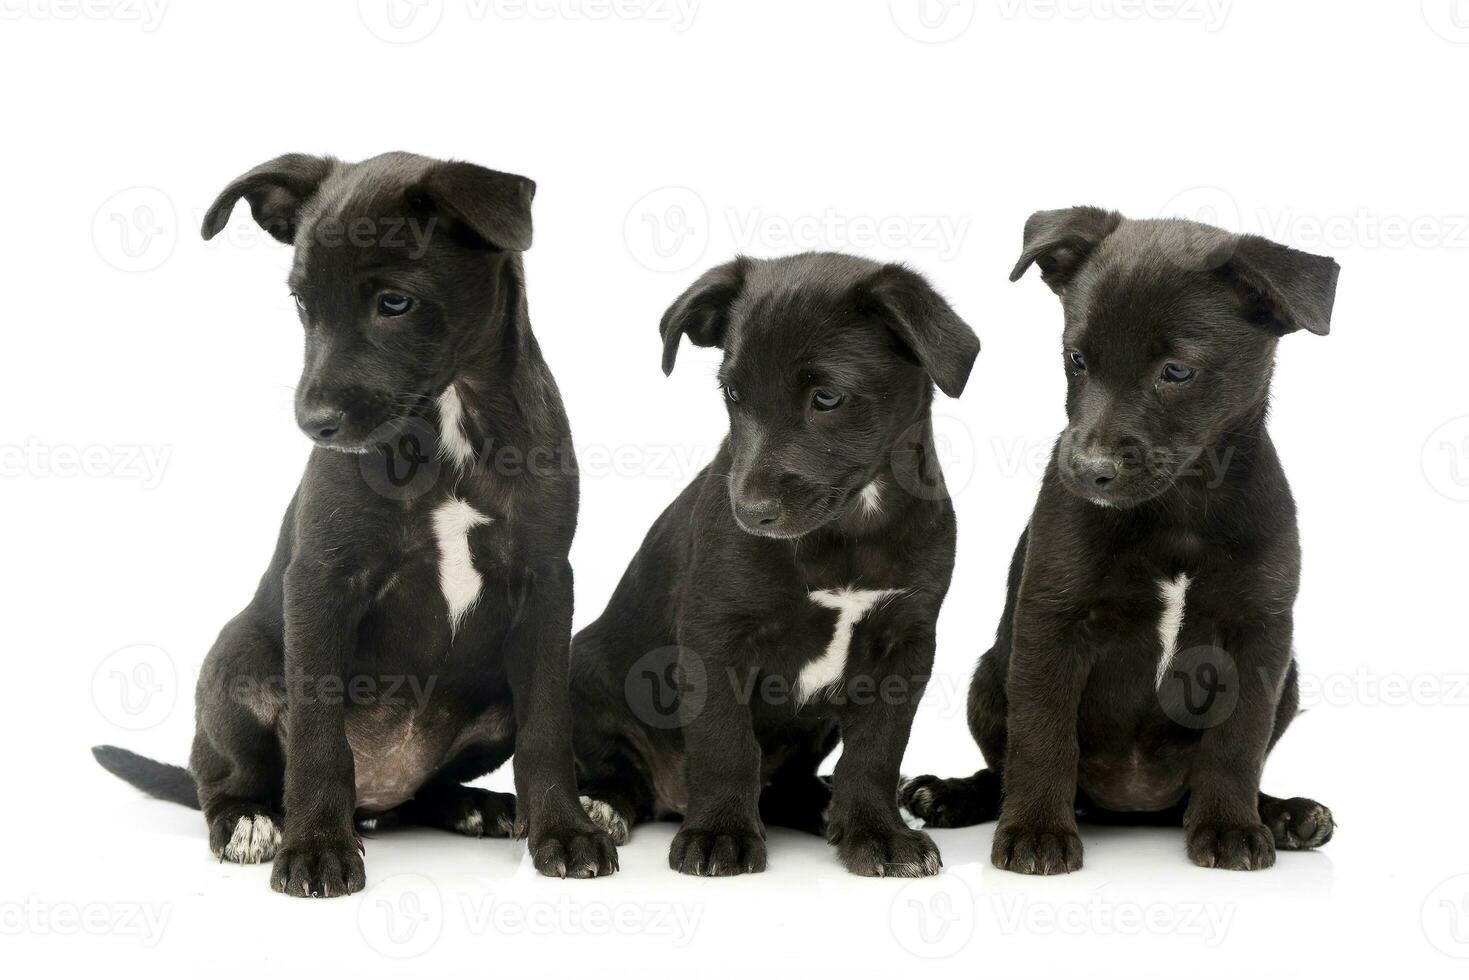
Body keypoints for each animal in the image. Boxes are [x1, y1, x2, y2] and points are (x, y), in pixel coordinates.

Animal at [93, 153, 614, 899]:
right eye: (302, 306)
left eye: (394, 302)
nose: (313, 424)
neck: (449, 422)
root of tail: (379, 793)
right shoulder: (323, 579)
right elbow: (318, 735)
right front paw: (315, 848)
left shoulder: (545, 583)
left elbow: (547, 729)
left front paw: (565, 831)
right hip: (234, 662)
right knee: (220, 780)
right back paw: (252, 821)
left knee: (427, 791)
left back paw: (480, 806)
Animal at [567, 251, 981, 875]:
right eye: (734, 393)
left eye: (827, 398)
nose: (749, 512)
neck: (848, 529)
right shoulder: (716, 635)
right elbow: (726, 743)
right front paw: (720, 832)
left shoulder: (904, 643)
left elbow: (877, 751)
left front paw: (878, 832)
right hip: (582, 668)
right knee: (621, 774)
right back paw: (602, 807)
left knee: (788, 785)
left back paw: (826, 806)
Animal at [899, 208, 1339, 875]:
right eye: (1077, 359)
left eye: (1176, 370)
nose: (1086, 470)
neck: (1178, 510)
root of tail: (1137, 805)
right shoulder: (1052, 623)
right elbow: (1044, 737)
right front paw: (1036, 832)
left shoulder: (1260, 634)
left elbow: (1237, 743)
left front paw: (1232, 826)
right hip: (989, 676)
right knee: (1003, 769)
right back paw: (947, 795)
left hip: (1288, 680)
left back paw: (1285, 814)